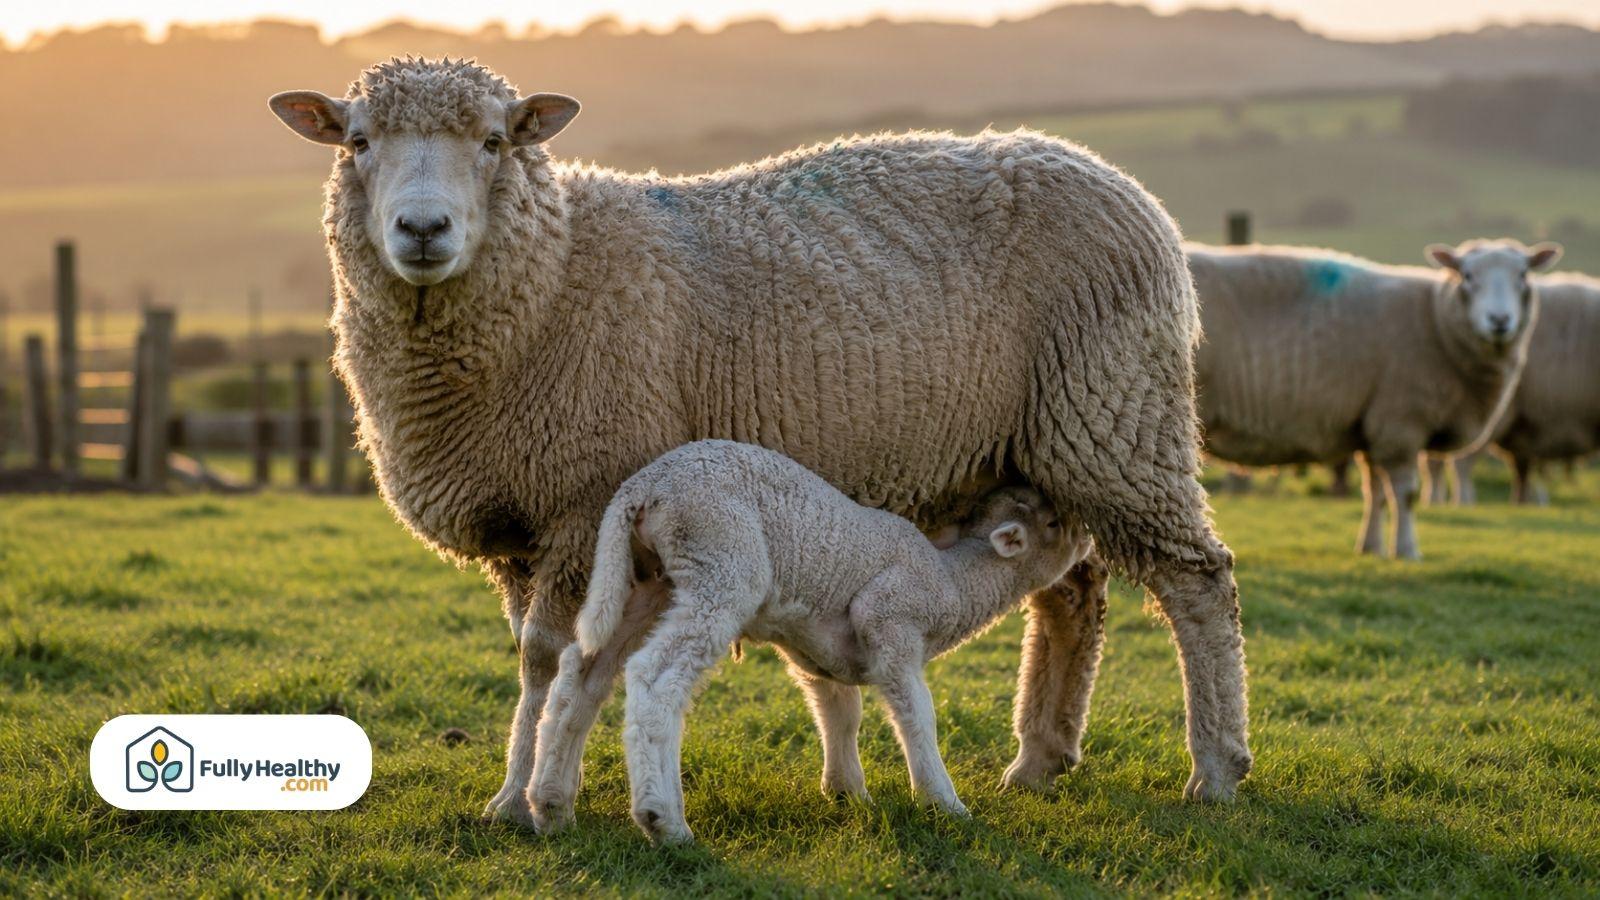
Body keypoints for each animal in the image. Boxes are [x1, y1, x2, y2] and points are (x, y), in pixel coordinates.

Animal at [528, 440, 1089, 843]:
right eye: (1053, 522)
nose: (1087, 534)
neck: (952, 581)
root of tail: (644, 488)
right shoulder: (890, 620)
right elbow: (917, 716)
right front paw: (943, 801)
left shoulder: (818, 649)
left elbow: (841, 712)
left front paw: (848, 792)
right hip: (721, 561)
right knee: (654, 676)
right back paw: (663, 820)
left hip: (646, 581)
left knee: (582, 670)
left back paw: (550, 803)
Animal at [1189, 240, 1562, 559]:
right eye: (1467, 275)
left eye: (1523, 275)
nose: (1499, 320)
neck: (1437, 324)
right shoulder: (1400, 423)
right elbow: (1406, 495)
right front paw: (1408, 551)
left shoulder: (1374, 427)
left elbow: (1376, 494)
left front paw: (1371, 548)